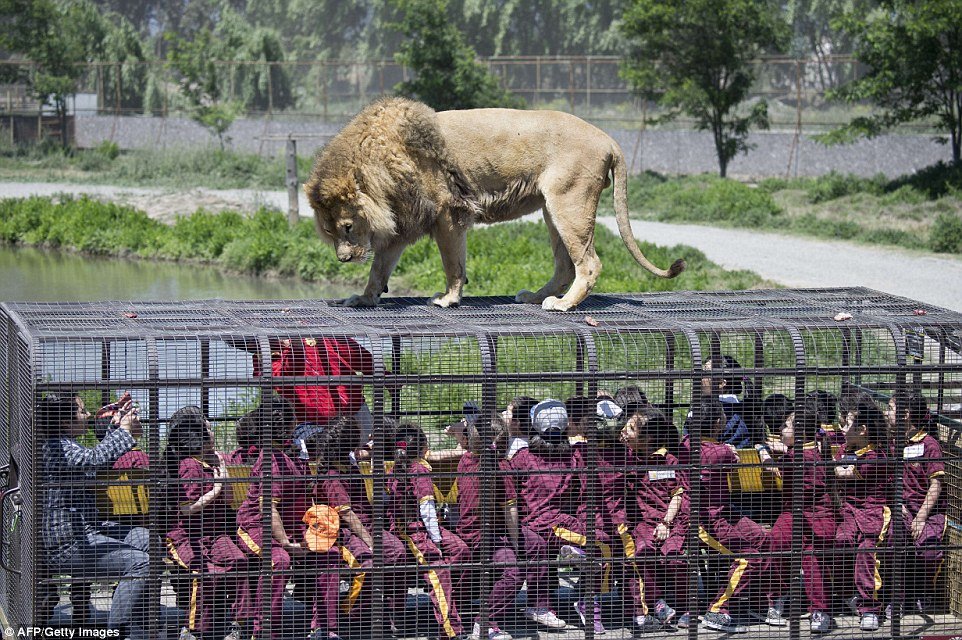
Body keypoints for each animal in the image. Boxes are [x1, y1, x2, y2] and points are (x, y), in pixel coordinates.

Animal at [302, 95, 684, 312]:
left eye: (347, 227)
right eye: (329, 233)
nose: (343, 258)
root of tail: (608, 138)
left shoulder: (449, 214)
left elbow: (453, 264)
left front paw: (448, 299)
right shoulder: (403, 223)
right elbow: (378, 269)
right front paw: (364, 298)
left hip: (569, 203)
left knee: (588, 263)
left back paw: (562, 305)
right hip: (552, 209)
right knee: (564, 266)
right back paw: (536, 297)